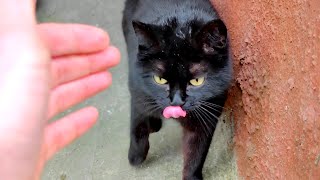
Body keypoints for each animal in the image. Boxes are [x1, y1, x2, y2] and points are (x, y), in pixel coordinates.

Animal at [123, 0, 232, 179]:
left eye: (197, 81)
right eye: (160, 79)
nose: (176, 101)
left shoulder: (207, 116)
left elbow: (196, 154)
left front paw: (191, 176)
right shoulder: (138, 91)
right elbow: (137, 123)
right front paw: (136, 156)